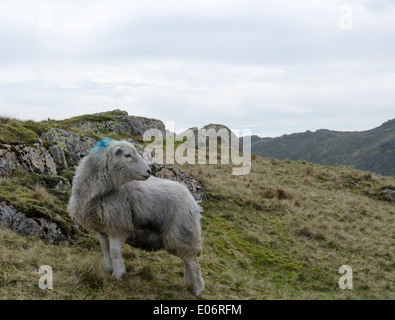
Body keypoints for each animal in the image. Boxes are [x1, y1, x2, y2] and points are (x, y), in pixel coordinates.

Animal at [67, 139, 206, 296]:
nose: (149, 171)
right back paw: (187, 284)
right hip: (179, 237)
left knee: (193, 262)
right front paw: (109, 270)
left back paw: (198, 290)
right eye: (127, 155)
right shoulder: (101, 229)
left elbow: (114, 252)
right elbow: (105, 250)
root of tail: (193, 201)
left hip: (183, 232)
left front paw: (117, 275)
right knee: (187, 260)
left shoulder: (118, 227)